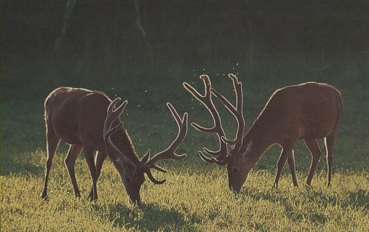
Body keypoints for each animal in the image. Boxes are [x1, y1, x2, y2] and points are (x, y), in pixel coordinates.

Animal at [41, 86, 187, 203]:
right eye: (127, 179)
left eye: (142, 181)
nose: (136, 201)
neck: (100, 126)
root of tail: (51, 94)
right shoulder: (87, 142)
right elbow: (93, 171)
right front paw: (95, 198)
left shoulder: (103, 148)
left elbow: (98, 172)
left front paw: (89, 196)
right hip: (50, 128)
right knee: (49, 161)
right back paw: (44, 194)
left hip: (76, 142)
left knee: (68, 161)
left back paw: (77, 194)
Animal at [184, 74, 342, 192]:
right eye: (227, 169)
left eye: (235, 169)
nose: (233, 188)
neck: (275, 126)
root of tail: (338, 93)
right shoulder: (285, 140)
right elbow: (291, 162)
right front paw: (295, 185)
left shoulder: (293, 135)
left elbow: (280, 162)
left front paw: (274, 186)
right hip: (309, 136)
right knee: (317, 153)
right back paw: (308, 182)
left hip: (334, 125)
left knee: (329, 155)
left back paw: (328, 183)